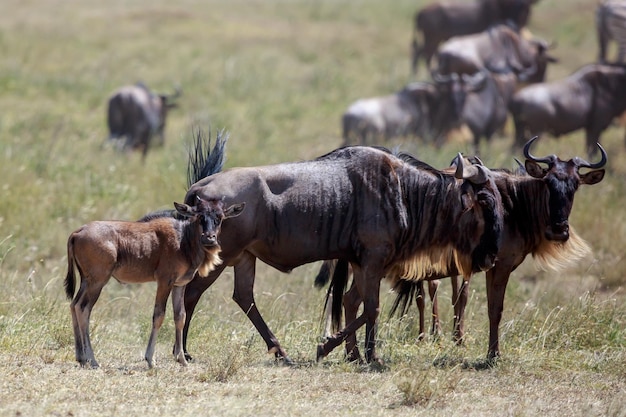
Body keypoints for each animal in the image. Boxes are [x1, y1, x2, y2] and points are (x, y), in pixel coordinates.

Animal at [64, 197, 244, 368]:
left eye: (219, 217)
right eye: (200, 216)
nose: (209, 238)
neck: (183, 239)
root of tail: (77, 233)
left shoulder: (179, 285)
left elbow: (180, 316)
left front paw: (181, 360)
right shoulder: (165, 282)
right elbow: (159, 315)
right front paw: (150, 359)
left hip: (87, 281)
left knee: (74, 305)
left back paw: (81, 358)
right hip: (98, 282)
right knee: (83, 308)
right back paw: (92, 360)